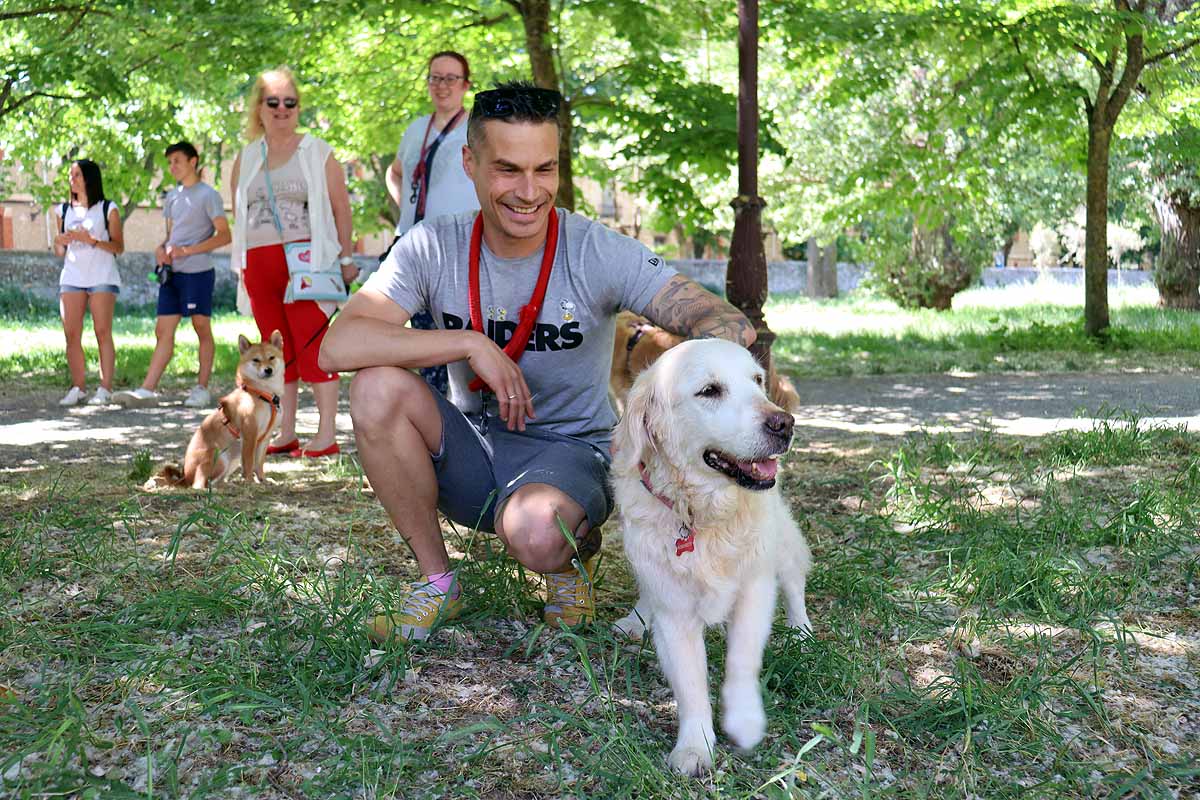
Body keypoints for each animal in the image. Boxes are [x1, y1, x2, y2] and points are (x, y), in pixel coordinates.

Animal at [152, 331, 285, 489]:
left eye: (271, 357)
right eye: (256, 360)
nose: (268, 370)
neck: (262, 395)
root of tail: (185, 477)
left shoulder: (264, 438)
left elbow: (259, 464)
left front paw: (262, 480)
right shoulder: (249, 435)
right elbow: (249, 463)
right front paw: (250, 482)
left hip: (232, 460)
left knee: (216, 481)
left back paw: (228, 485)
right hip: (219, 456)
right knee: (200, 484)